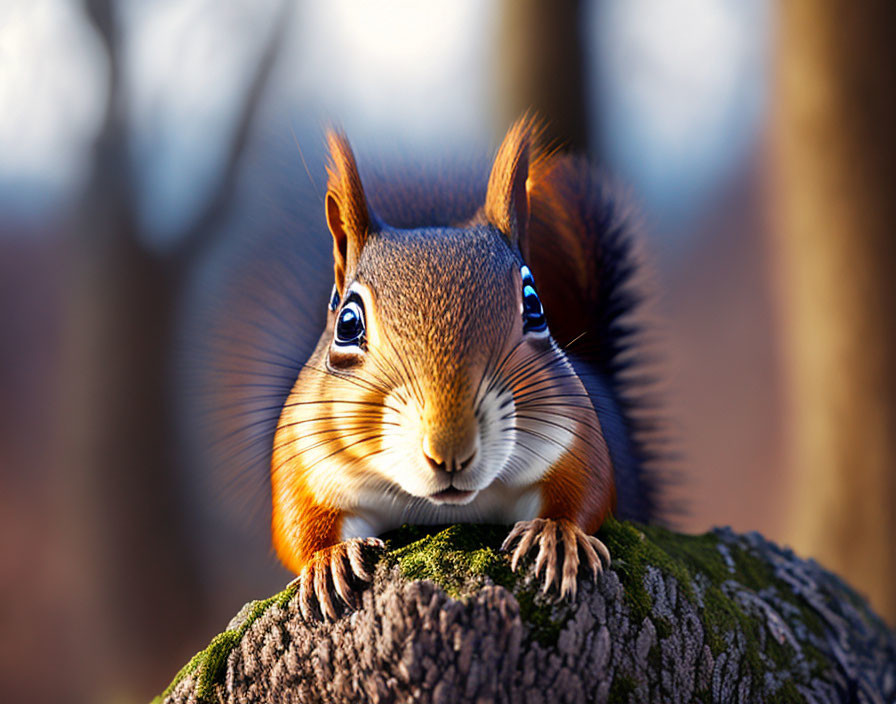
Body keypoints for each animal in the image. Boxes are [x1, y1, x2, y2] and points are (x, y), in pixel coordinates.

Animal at [266, 117, 656, 620]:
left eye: (535, 306)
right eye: (347, 323)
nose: (450, 448)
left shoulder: (576, 433)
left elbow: (588, 487)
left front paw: (557, 535)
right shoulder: (303, 455)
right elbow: (296, 520)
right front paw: (327, 560)